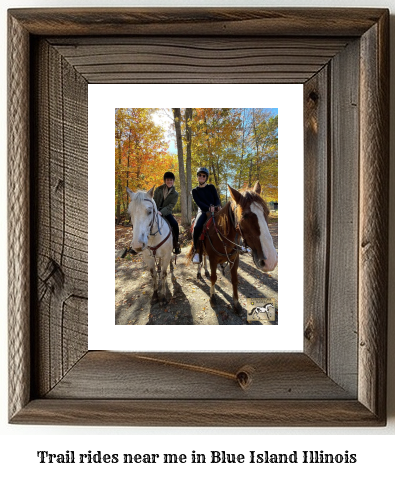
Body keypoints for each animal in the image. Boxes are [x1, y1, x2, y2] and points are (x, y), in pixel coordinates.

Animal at [187, 182, 276, 314]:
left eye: (267, 212)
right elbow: (214, 278)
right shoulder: (213, 259)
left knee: (204, 257)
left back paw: (205, 271)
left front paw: (236, 303)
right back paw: (199, 272)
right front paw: (212, 298)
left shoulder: (235, 259)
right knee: (200, 256)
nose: (271, 261)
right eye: (244, 216)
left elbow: (234, 280)